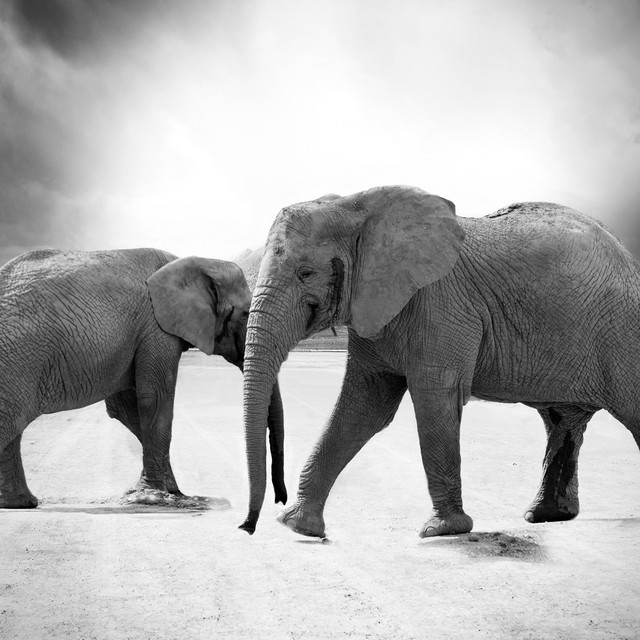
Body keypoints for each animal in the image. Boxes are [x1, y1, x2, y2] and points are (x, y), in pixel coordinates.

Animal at [0, 248, 287, 509]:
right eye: (246, 313)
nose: (281, 500)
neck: (195, 262)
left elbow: (126, 409)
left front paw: (173, 492)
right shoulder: (155, 328)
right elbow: (154, 399)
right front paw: (155, 496)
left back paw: (21, 504)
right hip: (17, 358)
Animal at [238, 184, 640, 538]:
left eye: (305, 273)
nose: (247, 527)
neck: (355, 206)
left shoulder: (442, 307)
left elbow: (434, 400)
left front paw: (442, 530)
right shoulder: (376, 310)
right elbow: (363, 407)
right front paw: (298, 526)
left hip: (623, 332)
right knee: (562, 422)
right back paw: (545, 516)